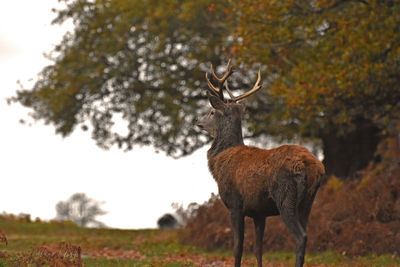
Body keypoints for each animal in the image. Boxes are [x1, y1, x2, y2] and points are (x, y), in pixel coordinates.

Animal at [196, 60, 324, 267]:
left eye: (212, 111)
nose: (197, 120)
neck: (219, 162)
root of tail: (311, 166)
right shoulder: (259, 212)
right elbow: (258, 249)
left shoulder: (235, 204)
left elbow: (238, 247)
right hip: (308, 201)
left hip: (286, 197)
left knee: (301, 237)